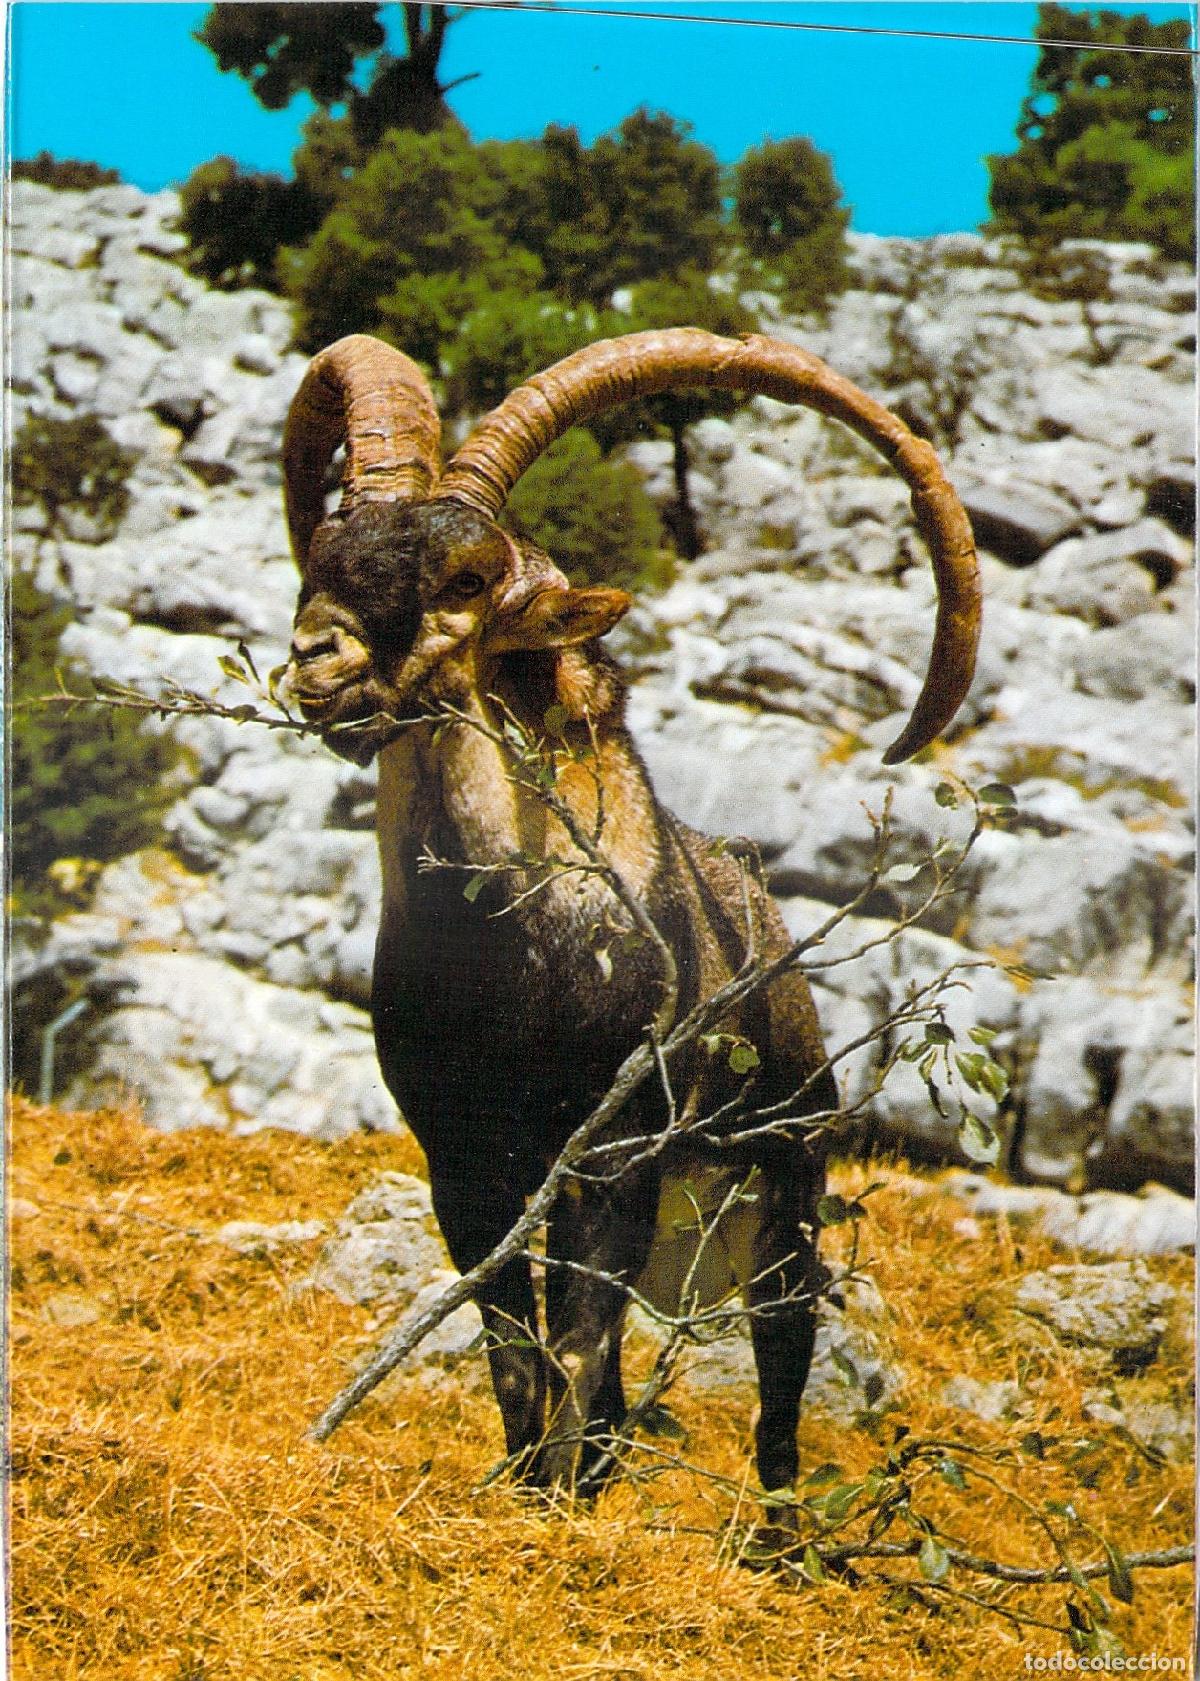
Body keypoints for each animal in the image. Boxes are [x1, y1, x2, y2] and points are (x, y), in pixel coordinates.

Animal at [281, 329, 980, 1501]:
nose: (314, 661)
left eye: (465, 578)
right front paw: (524, 1494)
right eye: (324, 555)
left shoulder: (611, 1158)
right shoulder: (466, 1163)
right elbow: (517, 1355)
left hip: (786, 1207)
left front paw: (560, 1509)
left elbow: (575, 1346)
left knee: (776, 1407)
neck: (509, 965)